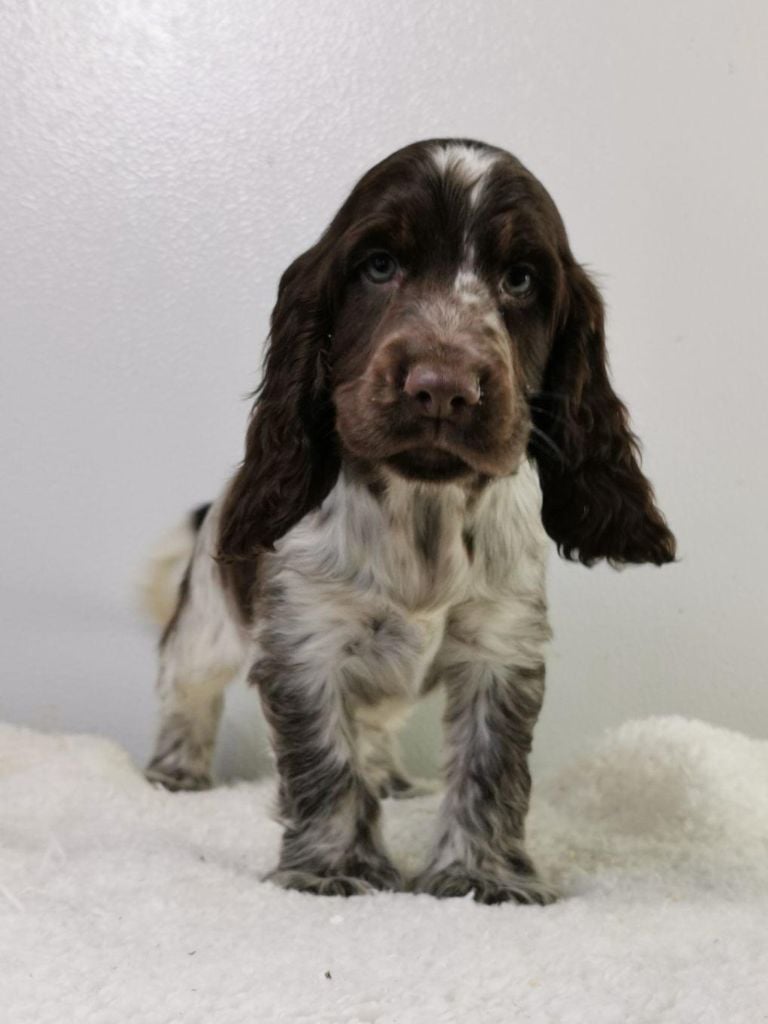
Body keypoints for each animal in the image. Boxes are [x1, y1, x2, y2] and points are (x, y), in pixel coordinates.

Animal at [145, 138, 675, 904]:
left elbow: (489, 768)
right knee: (185, 690)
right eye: (378, 266)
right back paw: (176, 771)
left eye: (520, 280)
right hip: (206, 628)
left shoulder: (499, 645)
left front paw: (482, 877)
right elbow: (327, 764)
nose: (443, 389)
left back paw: (393, 780)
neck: (423, 507)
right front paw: (336, 869)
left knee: (377, 729)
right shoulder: (307, 642)